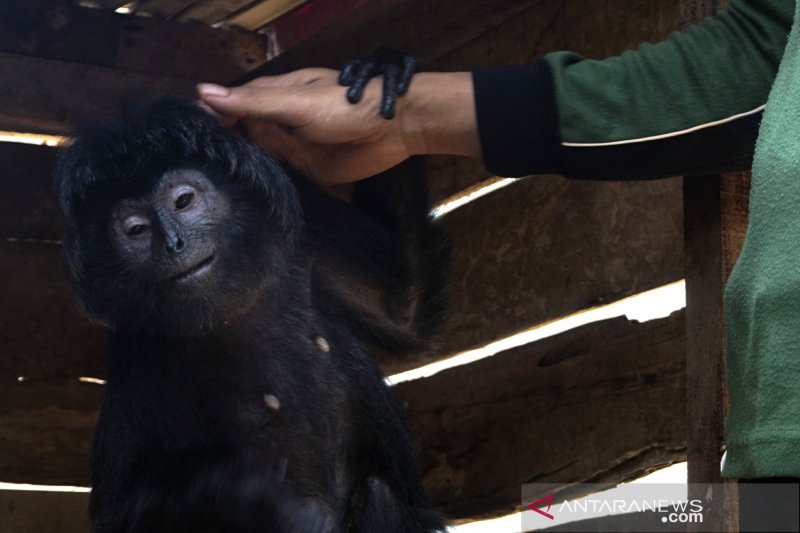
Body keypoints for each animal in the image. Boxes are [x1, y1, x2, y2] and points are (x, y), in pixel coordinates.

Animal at [54, 97, 446, 528]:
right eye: (137, 230)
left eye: (183, 202)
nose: (173, 243)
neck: (232, 311)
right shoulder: (137, 352)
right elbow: (123, 515)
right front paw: (238, 489)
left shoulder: (305, 229)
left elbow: (402, 305)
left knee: (379, 492)